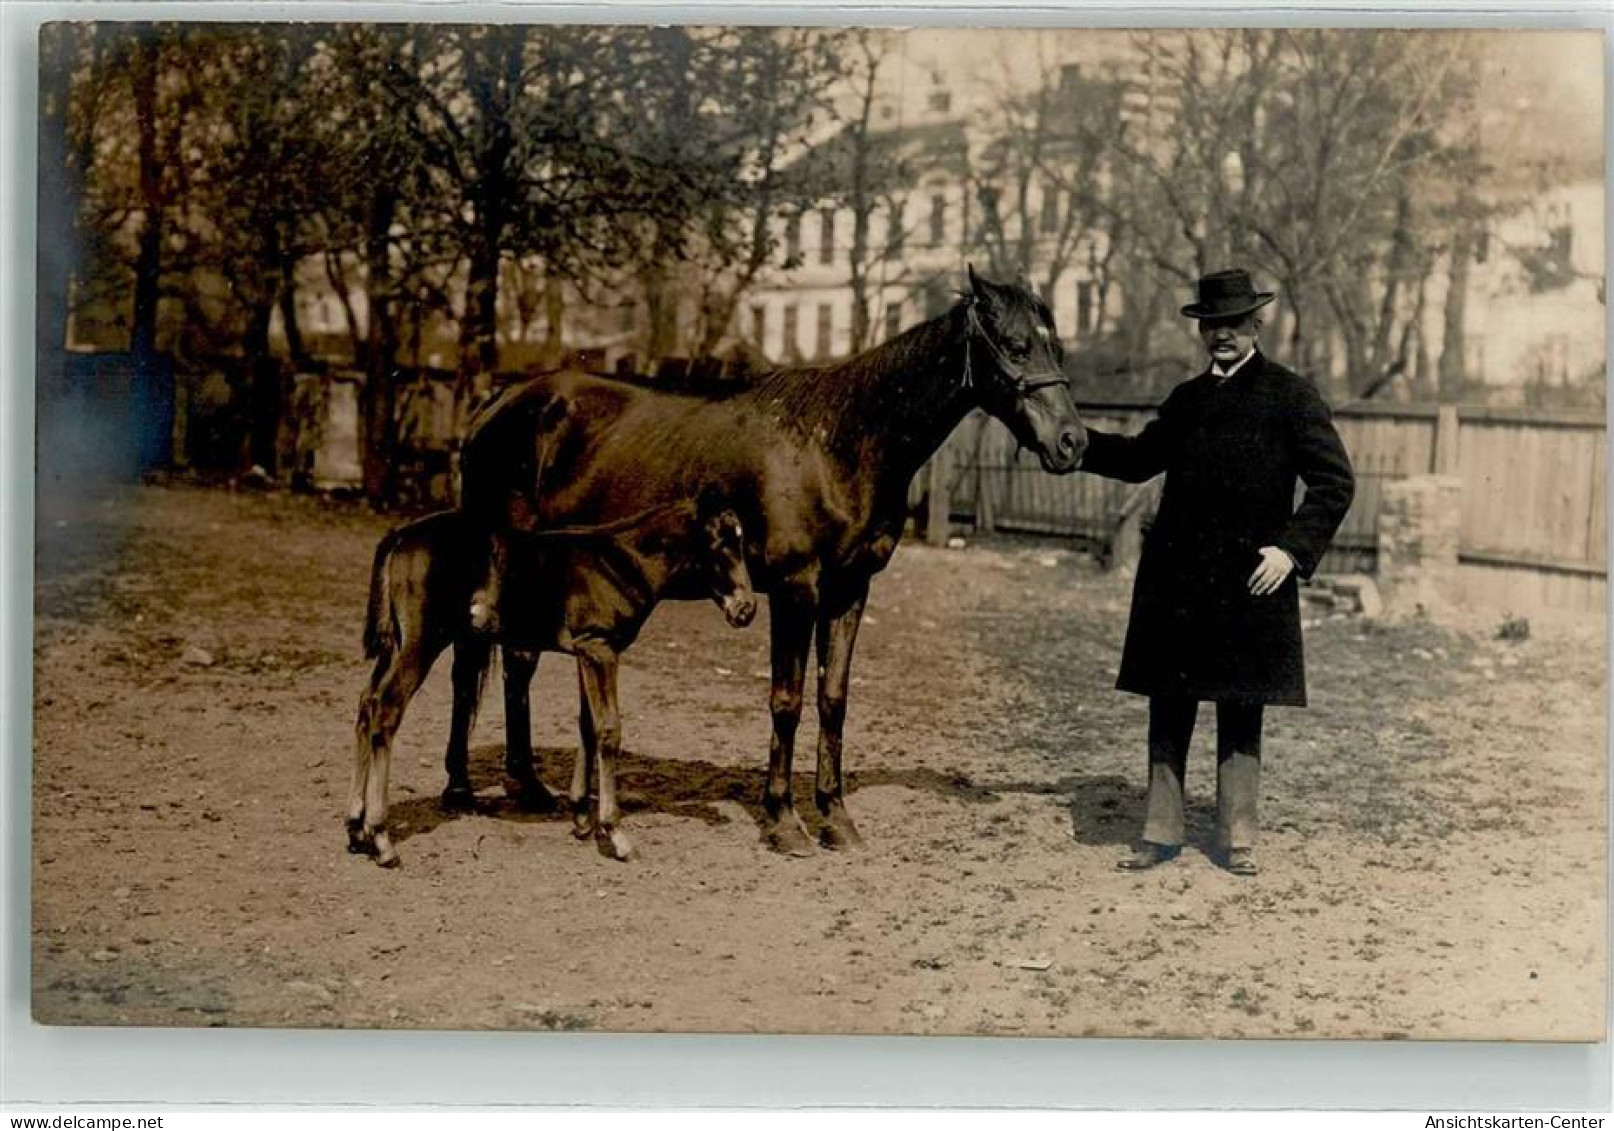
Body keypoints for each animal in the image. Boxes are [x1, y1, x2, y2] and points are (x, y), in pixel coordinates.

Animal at [350, 490, 752, 864]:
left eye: (741, 539)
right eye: (719, 542)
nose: (746, 610)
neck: (621, 562)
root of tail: (400, 535)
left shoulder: (585, 652)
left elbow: (588, 727)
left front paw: (581, 818)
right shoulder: (600, 647)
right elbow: (609, 730)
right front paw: (616, 833)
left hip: (395, 643)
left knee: (366, 705)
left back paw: (356, 829)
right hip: (423, 640)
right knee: (386, 709)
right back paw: (381, 839)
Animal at [455, 264, 1084, 851]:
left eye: (1055, 345)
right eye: (1016, 345)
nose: (1072, 442)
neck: (841, 442)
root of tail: (499, 401)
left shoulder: (850, 591)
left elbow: (833, 700)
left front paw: (835, 819)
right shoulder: (794, 589)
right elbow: (787, 699)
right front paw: (783, 821)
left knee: (517, 662)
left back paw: (536, 790)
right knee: (478, 665)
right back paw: (473, 789)